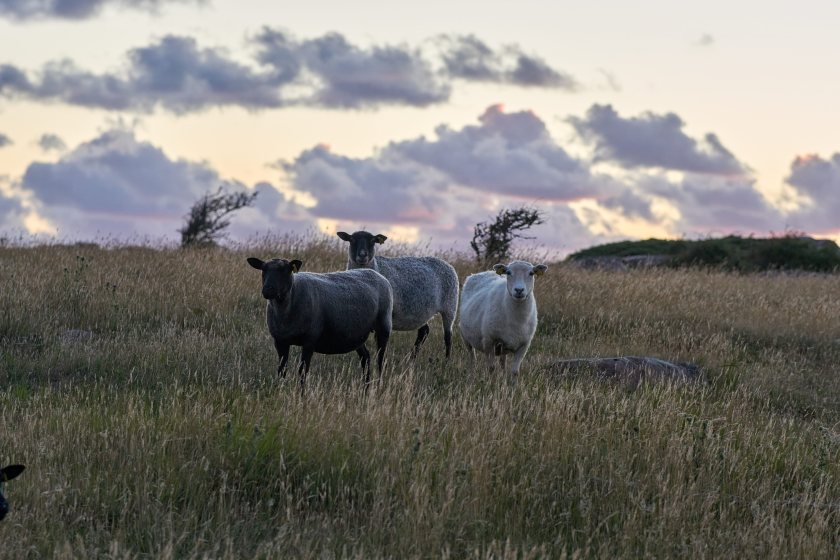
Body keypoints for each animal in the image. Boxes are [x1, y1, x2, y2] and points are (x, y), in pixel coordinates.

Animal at [247, 257, 393, 391]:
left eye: (285, 270)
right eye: (263, 270)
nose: (268, 290)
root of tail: (377, 274)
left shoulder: (309, 340)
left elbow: (303, 371)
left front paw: (301, 395)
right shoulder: (280, 341)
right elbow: (282, 370)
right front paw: (280, 391)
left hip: (384, 325)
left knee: (381, 360)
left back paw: (379, 387)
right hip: (357, 334)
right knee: (365, 358)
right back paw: (365, 389)